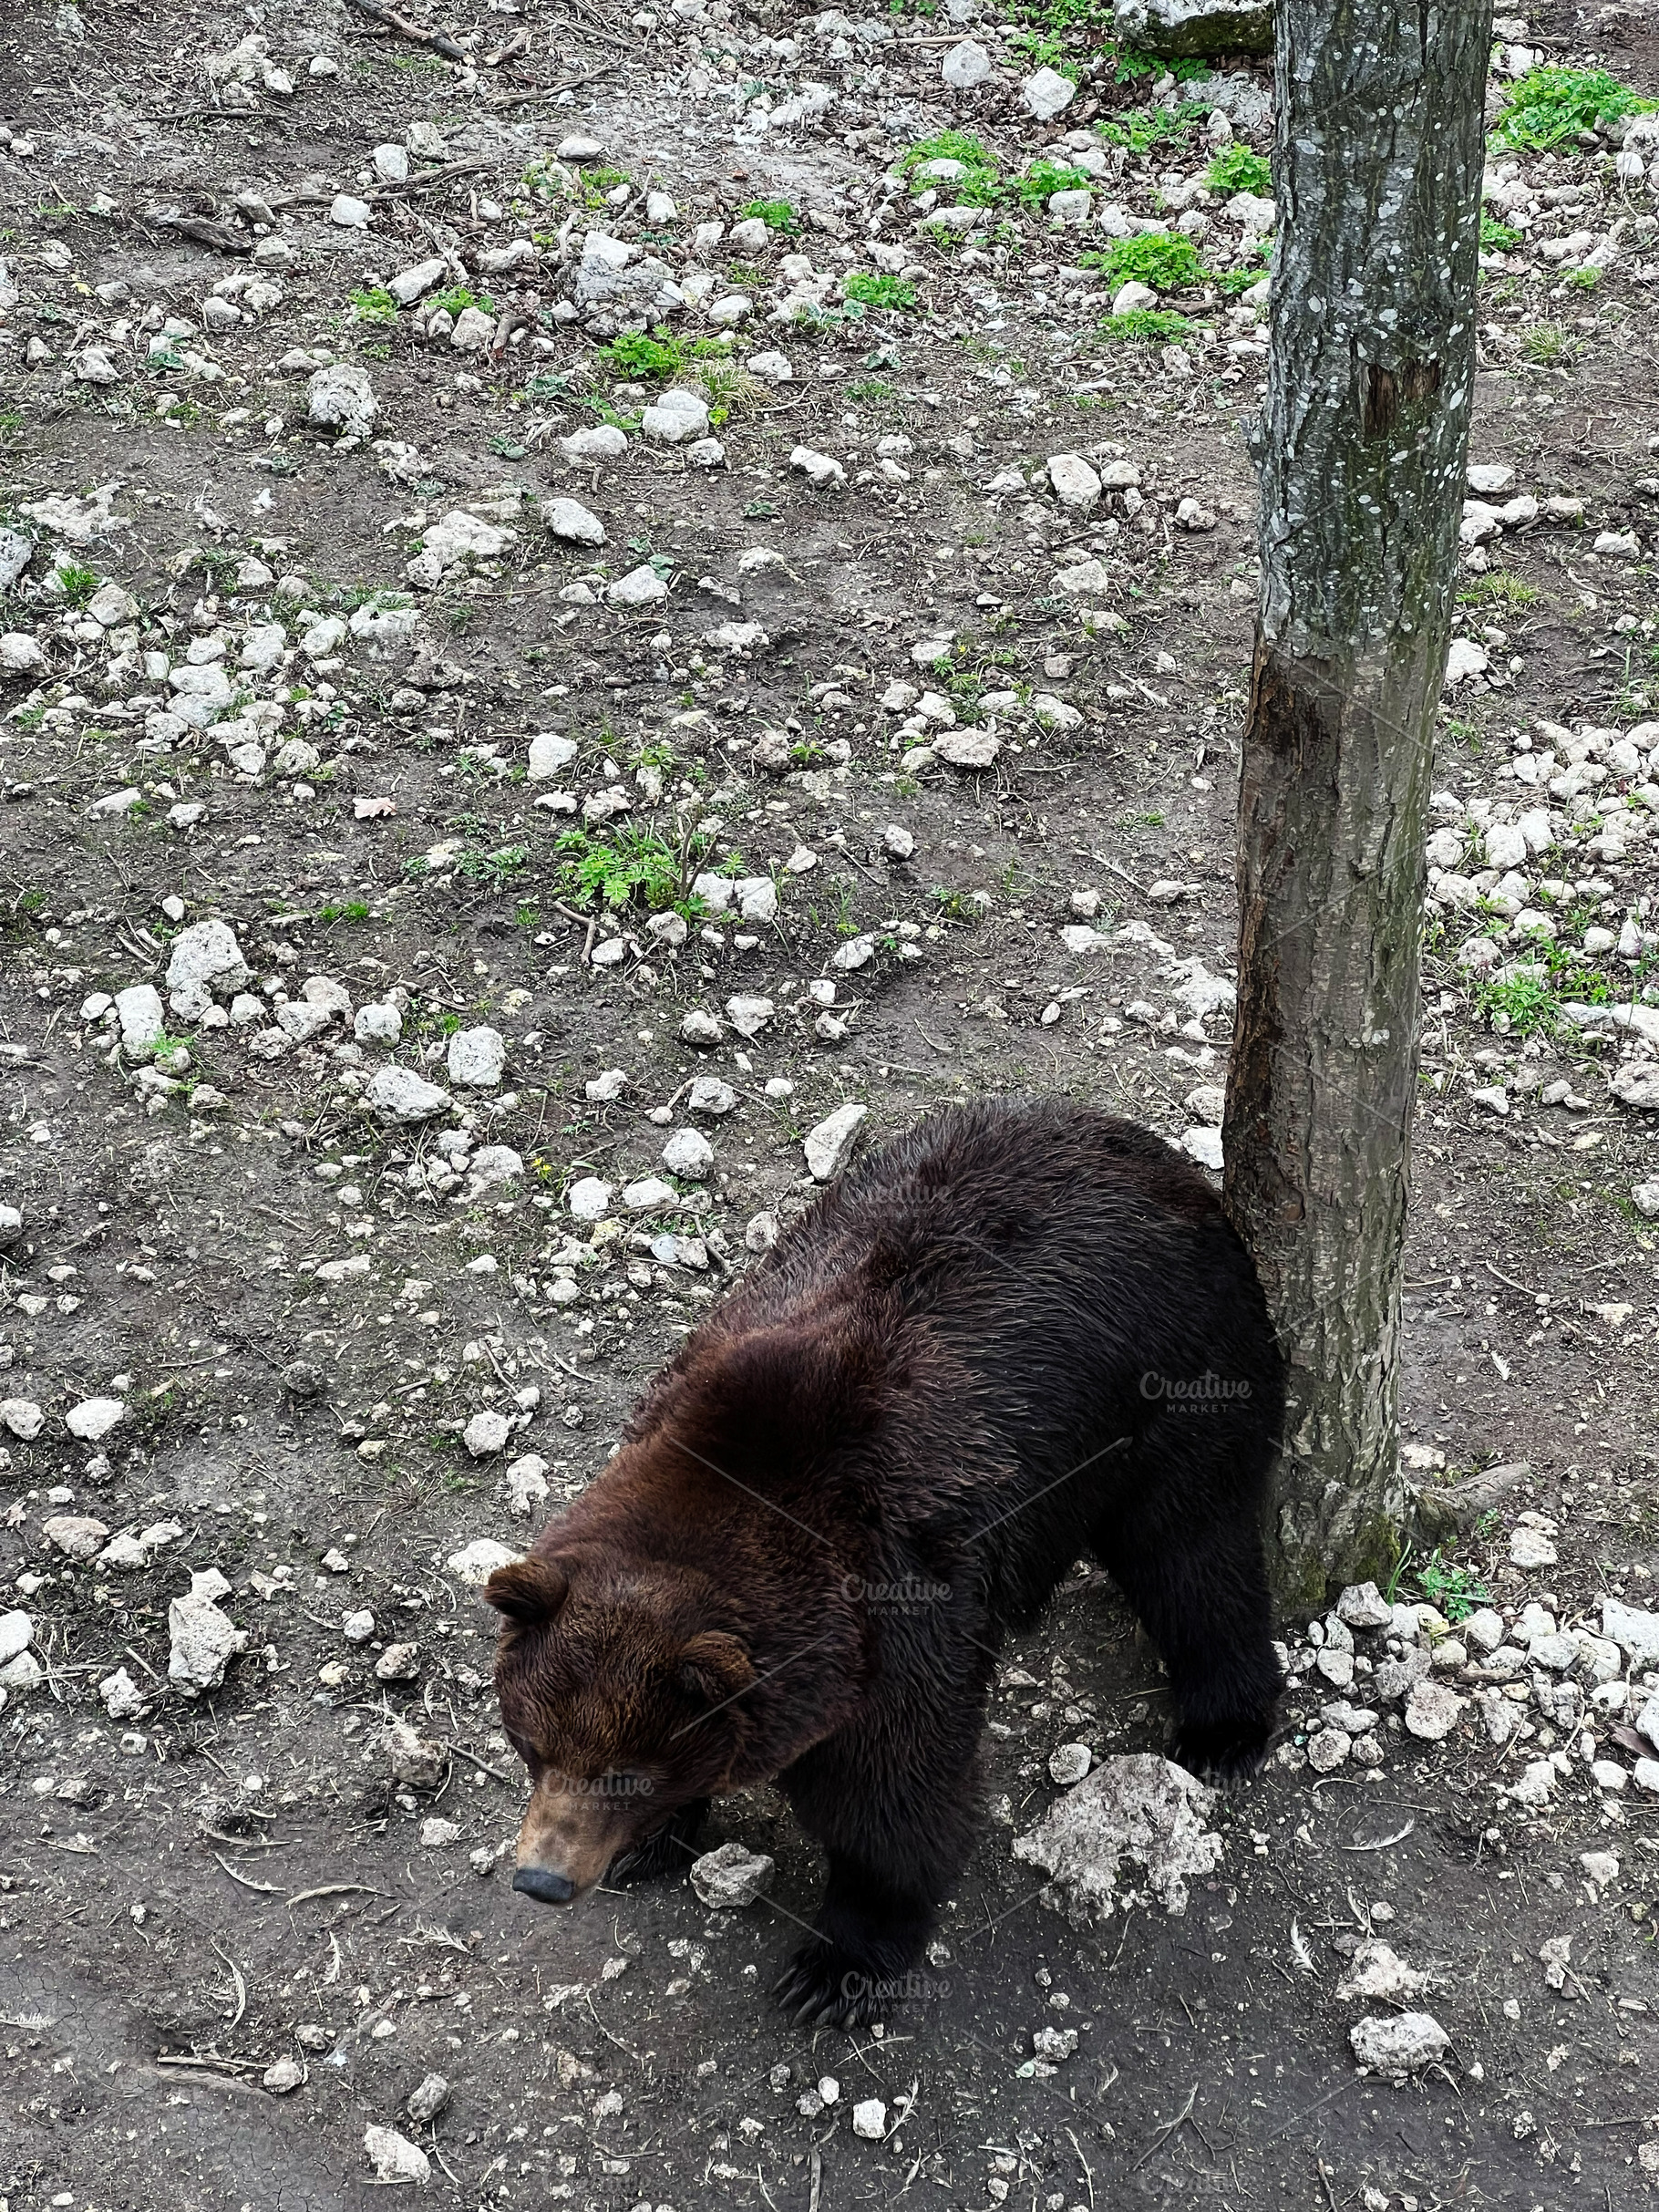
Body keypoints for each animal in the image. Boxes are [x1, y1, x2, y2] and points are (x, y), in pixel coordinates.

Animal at [487, 1097, 1284, 2028]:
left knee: (1193, 1550)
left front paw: (836, 1967)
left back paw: (1222, 1730)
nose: (542, 1879)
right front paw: (655, 1841)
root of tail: (1163, 1160)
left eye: (625, 1773)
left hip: (1179, 1376)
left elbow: (894, 1797)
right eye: (533, 1743)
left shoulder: (893, 1609)